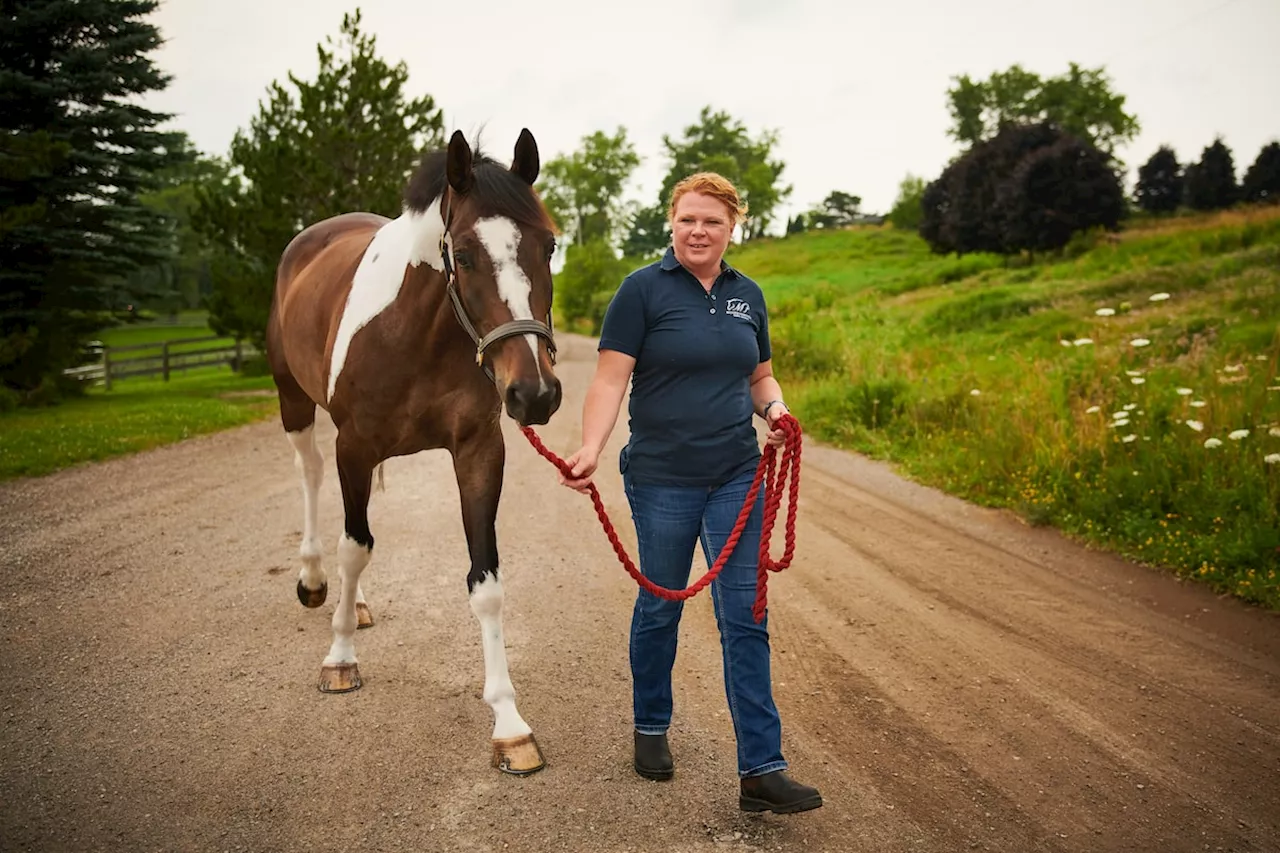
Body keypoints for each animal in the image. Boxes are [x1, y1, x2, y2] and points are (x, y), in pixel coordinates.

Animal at [267, 126, 563, 768]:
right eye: (466, 254)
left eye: (549, 246)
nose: (535, 393)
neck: (415, 332)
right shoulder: (353, 447)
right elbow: (355, 547)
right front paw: (340, 659)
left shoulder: (478, 451)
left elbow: (486, 583)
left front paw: (509, 723)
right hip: (293, 403)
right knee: (311, 477)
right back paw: (316, 583)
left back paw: (352, 605)